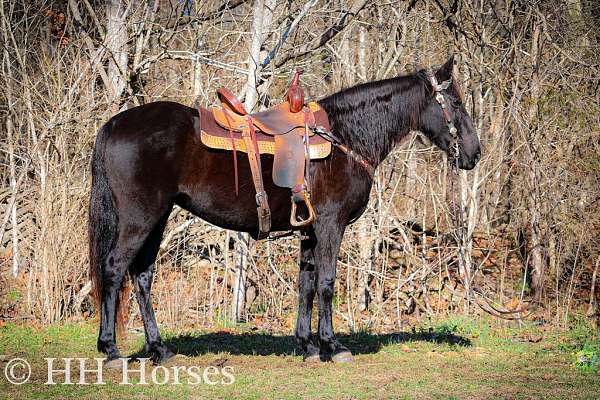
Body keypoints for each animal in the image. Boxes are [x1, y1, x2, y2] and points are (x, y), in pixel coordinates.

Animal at [89, 56, 480, 366]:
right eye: (456, 103)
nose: (474, 153)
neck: (345, 137)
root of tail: (114, 124)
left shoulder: (309, 229)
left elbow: (306, 284)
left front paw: (308, 345)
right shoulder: (330, 225)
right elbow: (325, 283)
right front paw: (333, 345)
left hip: (157, 219)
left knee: (142, 276)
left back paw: (159, 349)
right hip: (140, 219)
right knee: (114, 269)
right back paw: (111, 350)